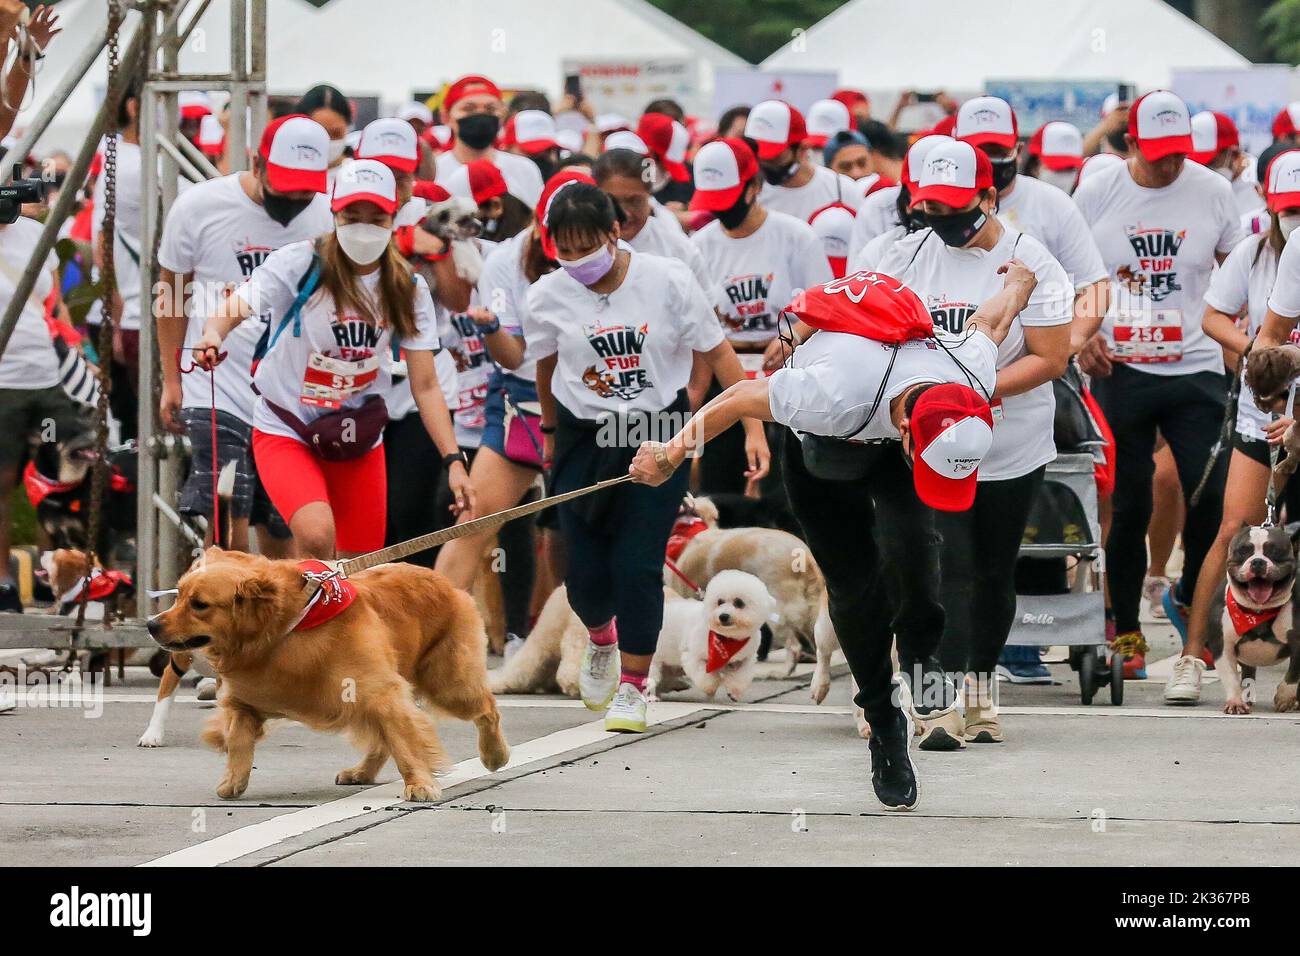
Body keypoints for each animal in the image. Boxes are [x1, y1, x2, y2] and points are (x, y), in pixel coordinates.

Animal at [143, 548, 506, 806]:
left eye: (199, 604)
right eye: (178, 595)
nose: (150, 624)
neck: (282, 633)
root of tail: (446, 582)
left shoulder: (381, 692)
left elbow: (405, 743)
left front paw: (419, 782)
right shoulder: (244, 703)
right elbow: (238, 742)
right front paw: (233, 779)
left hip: (448, 683)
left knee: (487, 709)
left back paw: (495, 754)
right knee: (381, 741)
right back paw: (362, 772)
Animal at [647, 567, 769, 702]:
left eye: (739, 602)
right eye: (720, 602)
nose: (723, 616)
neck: (728, 638)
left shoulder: (745, 659)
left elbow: (740, 676)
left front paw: (734, 691)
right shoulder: (693, 656)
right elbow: (705, 676)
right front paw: (711, 687)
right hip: (655, 659)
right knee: (652, 677)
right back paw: (651, 696)